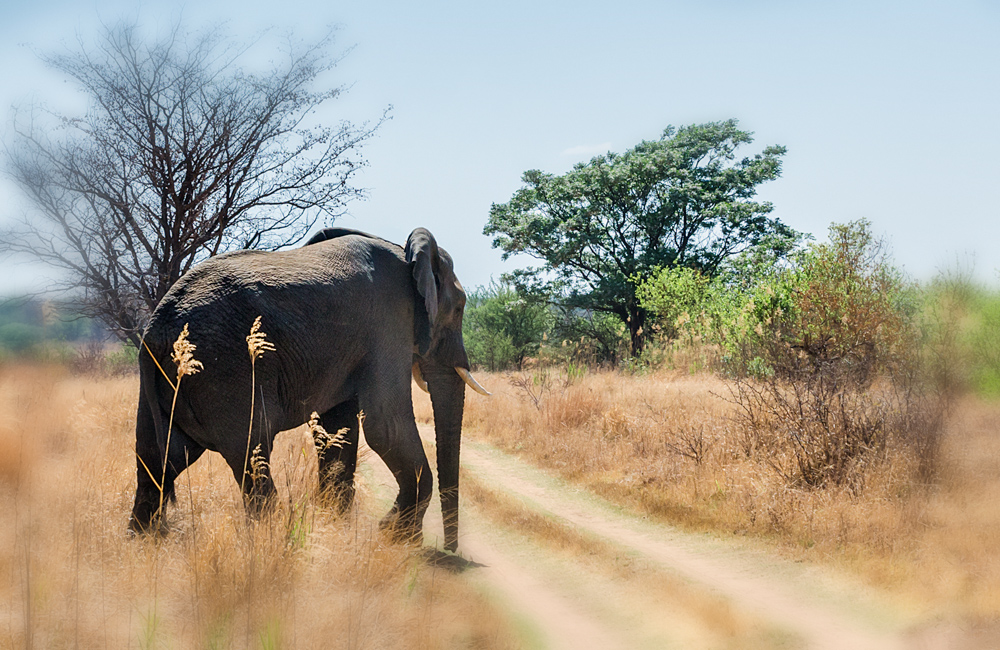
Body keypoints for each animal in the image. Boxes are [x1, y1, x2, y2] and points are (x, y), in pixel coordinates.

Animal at [128, 225, 488, 548]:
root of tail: (156, 326)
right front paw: (398, 537)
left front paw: (340, 525)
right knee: (251, 456)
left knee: (157, 462)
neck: (408, 253)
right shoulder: (389, 323)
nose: (450, 549)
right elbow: (385, 427)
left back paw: (142, 543)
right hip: (227, 368)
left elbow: (337, 431)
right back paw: (270, 539)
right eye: (459, 308)